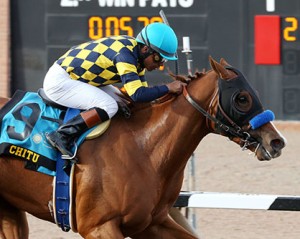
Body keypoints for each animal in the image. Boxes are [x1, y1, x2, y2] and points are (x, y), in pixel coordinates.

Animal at [0, 57, 284, 238]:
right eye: (242, 98)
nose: (276, 141)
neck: (144, 149)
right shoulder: (99, 227)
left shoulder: (151, 223)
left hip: (10, 210)